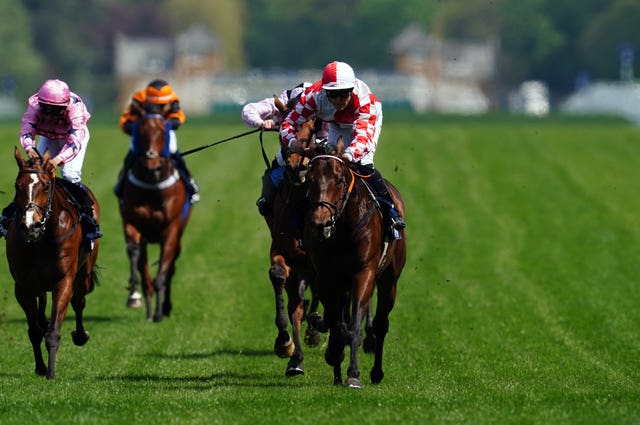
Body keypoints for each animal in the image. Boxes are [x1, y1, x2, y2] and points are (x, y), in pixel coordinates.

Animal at [5, 147, 100, 378]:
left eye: (46, 186)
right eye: (17, 186)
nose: (30, 226)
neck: (43, 239)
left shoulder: (63, 281)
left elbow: (53, 330)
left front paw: (51, 373)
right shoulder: (23, 286)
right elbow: (34, 330)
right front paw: (40, 367)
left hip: (83, 274)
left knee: (79, 301)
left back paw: (80, 335)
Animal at [118, 112, 192, 322]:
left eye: (162, 132)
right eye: (141, 132)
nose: (152, 167)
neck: (153, 189)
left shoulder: (170, 229)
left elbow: (164, 269)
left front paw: (160, 312)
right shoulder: (132, 223)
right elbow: (134, 253)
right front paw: (134, 296)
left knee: (171, 267)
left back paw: (164, 307)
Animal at [302, 139, 408, 388]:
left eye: (339, 179)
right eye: (310, 179)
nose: (320, 223)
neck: (342, 229)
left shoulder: (364, 272)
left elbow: (354, 325)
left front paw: (353, 374)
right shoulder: (327, 276)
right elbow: (335, 322)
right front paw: (333, 354)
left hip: (389, 279)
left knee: (381, 323)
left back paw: (376, 372)